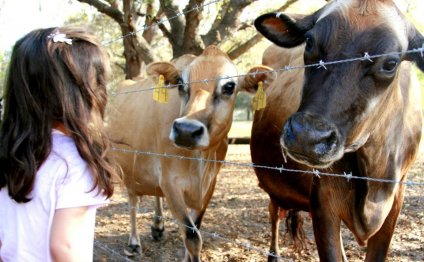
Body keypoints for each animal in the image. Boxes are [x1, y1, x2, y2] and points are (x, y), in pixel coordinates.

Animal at [107, 46, 272, 260]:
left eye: (229, 87)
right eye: (180, 83)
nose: (186, 130)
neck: (199, 163)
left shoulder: (210, 184)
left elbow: (196, 227)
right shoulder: (170, 182)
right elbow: (192, 236)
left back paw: (157, 226)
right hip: (127, 167)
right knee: (133, 201)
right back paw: (134, 242)